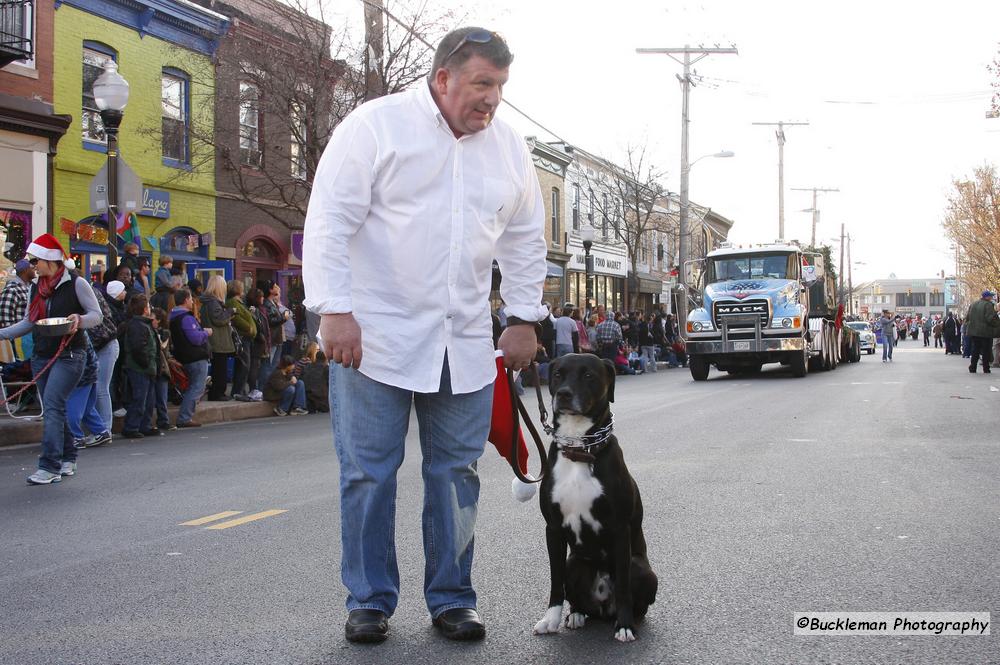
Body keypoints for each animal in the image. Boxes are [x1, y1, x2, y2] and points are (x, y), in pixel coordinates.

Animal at [532, 350, 656, 640]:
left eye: (588, 374)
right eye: (558, 374)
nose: (563, 394)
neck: (579, 448)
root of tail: (603, 608)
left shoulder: (620, 529)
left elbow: (623, 585)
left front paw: (624, 625)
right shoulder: (553, 528)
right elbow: (555, 581)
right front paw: (550, 619)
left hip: (642, 568)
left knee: (635, 595)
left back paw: (629, 618)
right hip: (575, 562)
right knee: (576, 596)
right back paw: (576, 615)